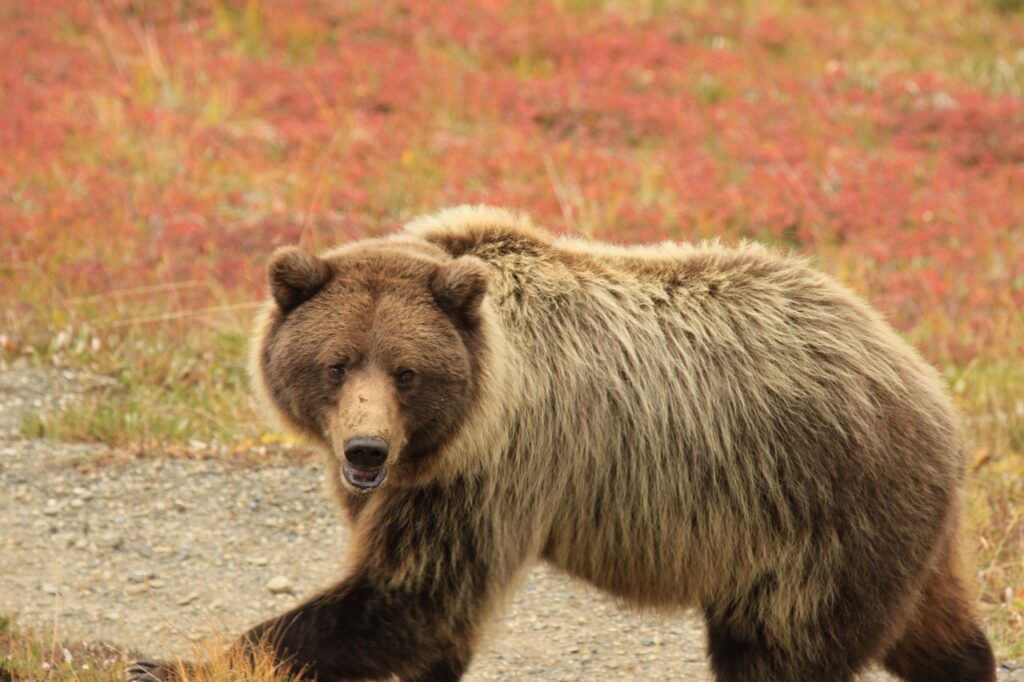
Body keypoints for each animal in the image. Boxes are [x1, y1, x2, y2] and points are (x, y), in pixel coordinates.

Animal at [129, 205, 995, 682]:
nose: (365, 451)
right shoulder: (423, 481)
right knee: (936, 631)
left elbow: (407, 595)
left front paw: (169, 659)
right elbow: (427, 614)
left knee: (781, 650)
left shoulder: (495, 467)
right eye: (335, 364)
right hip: (894, 534)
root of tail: (928, 388)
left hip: (812, 519)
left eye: (407, 371)